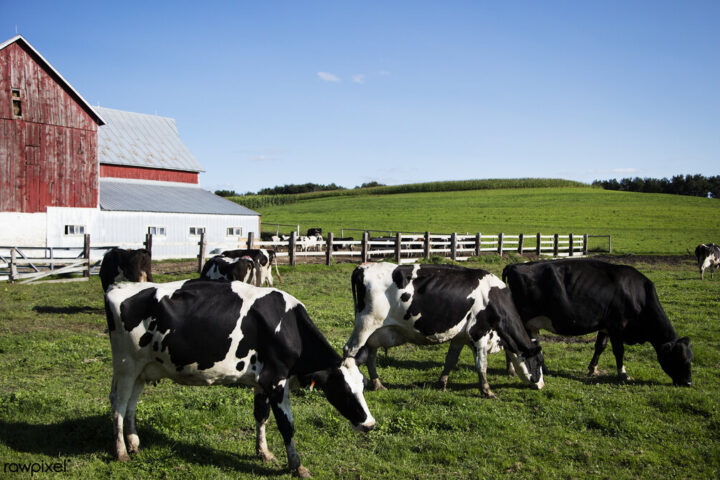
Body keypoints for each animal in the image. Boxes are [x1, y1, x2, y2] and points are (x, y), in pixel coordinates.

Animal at [107, 280, 376, 478]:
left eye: (363, 386)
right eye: (342, 390)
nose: (370, 424)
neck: (290, 327)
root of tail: (118, 287)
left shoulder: (262, 381)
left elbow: (261, 416)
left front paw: (263, 452)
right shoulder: (276, 380)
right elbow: (286, 425)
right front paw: (297, 466)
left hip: (142, 369)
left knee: (130, 406)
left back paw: (134, 443)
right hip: (126, 366)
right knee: (119, 406)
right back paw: (121, 451)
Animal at [342, 262, 540, 398]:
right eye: (538, 362)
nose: (541, 385)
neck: (493, 298)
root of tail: (362, 267)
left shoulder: (460, 337)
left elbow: (450, 360)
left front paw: (441, 383)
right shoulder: (479, 333)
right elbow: (481, 365)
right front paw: (487, 391)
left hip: (375, 331)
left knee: (371, 354)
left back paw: (377, 384)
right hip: (365, 324)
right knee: (350, 350)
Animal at [500, 258, 692, 386]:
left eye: (691, 358)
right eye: (679, 358)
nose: (688, 383)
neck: (637, 294)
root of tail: (515, 265)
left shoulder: (605, 326)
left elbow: (600, 346)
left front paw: (593, 368)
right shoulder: (617, 326)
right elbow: (619, 351)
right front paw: (623, 374)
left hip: (531, 324)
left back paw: (543, 369)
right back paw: (511, 370)